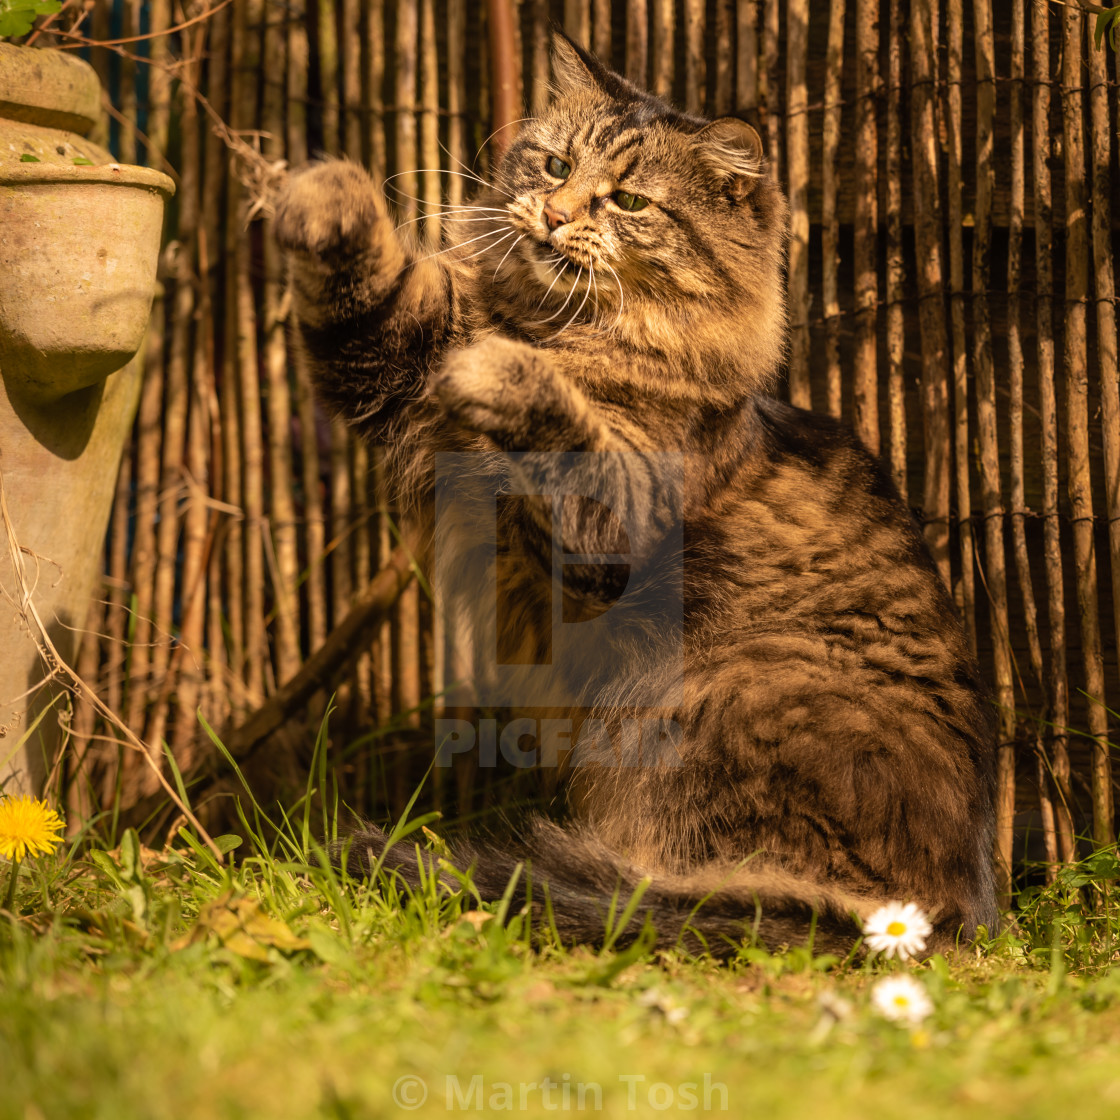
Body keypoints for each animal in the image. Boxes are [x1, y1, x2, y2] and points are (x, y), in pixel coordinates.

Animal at [275, 39, 994, 958]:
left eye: (627, 201)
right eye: (553, 165)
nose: (551, 215)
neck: (561, 325)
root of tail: (939, 914)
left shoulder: (609, 526)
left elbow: (565, 431)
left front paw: (505, 372)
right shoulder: (399, 363)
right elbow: (379, 289)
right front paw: (326, 192)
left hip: (710, 699)